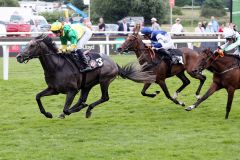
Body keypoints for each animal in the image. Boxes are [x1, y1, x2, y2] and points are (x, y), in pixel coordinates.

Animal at [16, 34, 156, 118]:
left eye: (32, 45)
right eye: (26, 44)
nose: (19, 57)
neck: (57, 67)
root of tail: (114, 63)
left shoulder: (72, 90)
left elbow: (66, 109)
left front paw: (71, 111)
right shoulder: (54, 89)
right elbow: (37, 96)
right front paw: (47, 114)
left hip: (104, 80)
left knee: (104, 97)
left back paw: (87, 109)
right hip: (87, 85)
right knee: (82, 99)